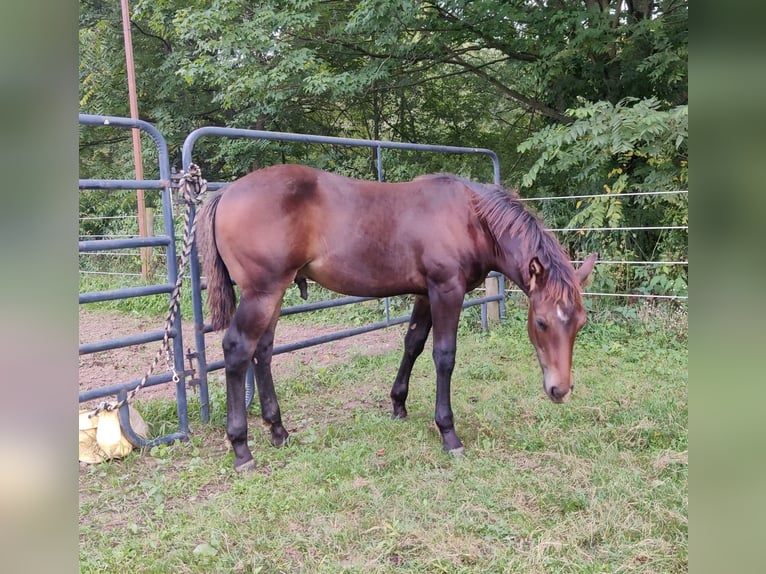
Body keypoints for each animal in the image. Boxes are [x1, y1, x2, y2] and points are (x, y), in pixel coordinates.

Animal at [196, 164, 597, 472]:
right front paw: (448, 433)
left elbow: (413, 343)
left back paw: (279, 431)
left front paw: (398, 404)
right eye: (542, 322)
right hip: (262, 294)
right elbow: (444, 356)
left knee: (263, 350)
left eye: (580, 323)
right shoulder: (446, 290)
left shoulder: (425, 293)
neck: (469, 217)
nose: (560, 390)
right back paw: (242, 449)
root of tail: (225, 193)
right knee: (237, 349)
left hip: (273, 294)